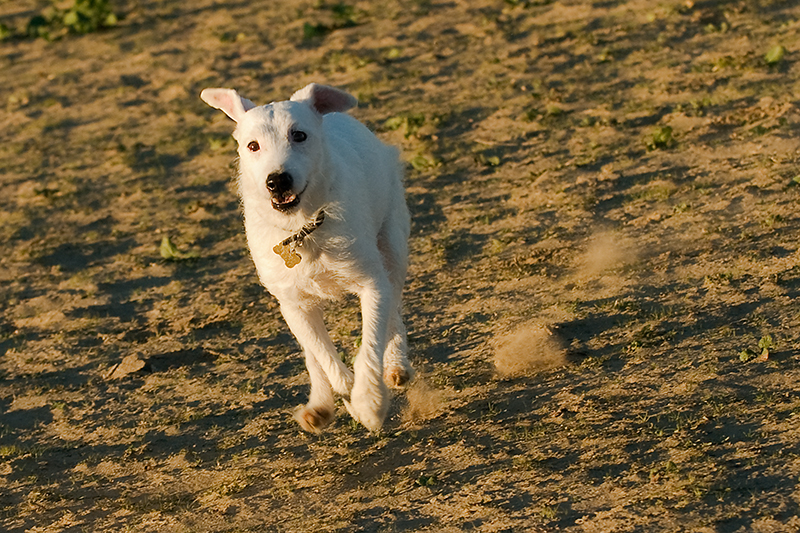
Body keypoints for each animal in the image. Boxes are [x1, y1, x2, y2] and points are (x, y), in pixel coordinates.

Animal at [200, 82, 416, 432]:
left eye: (299, 135)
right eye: (252, 145)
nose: (277, 180)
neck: (303, 228)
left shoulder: (372, 283)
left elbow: (371, 341)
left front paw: (368, 402)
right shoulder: (293, 304)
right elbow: (323, 355)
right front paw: (346, 394)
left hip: (393, 245)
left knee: (393, 312)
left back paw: (396, 366)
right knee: (314, 355)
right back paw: (320, 404)